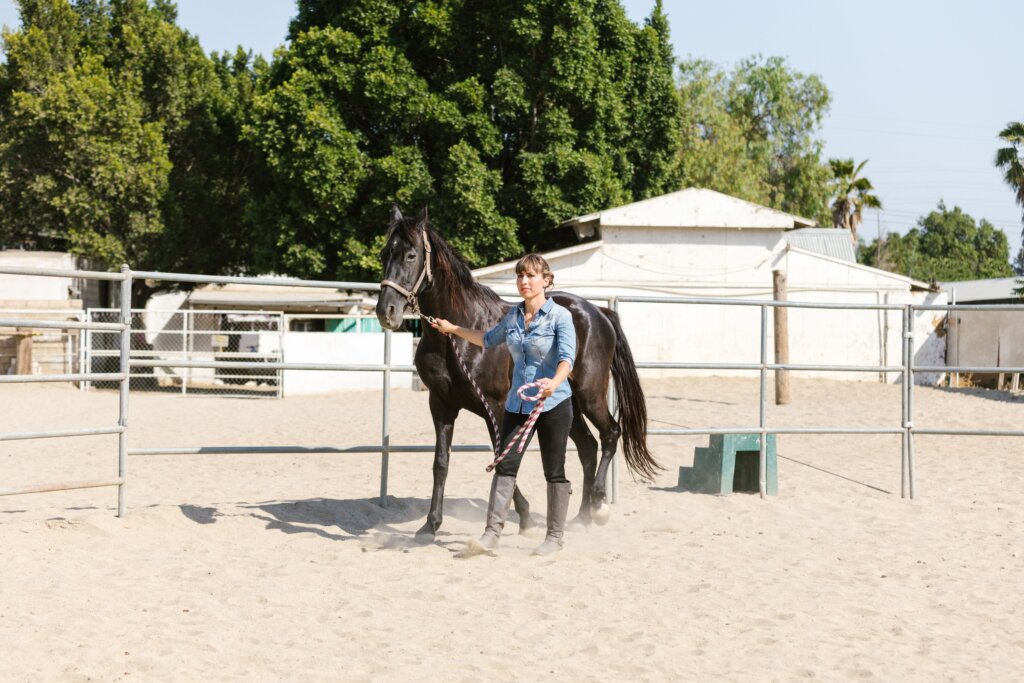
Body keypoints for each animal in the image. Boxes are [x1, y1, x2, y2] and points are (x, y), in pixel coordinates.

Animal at [375, 206, 660, 539]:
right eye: (384, 253)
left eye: (411, 255)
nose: (386, 312)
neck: (460, 335)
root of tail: (598, 313)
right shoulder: (441, 405)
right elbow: (441, 462)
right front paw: (430, 525)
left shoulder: (496, 407)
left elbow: (504, 458)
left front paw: (523, 516)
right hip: (566, 404)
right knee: (588, 448)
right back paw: (580, 517)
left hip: (589, 394)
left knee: (611, 433)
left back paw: (599, 505)